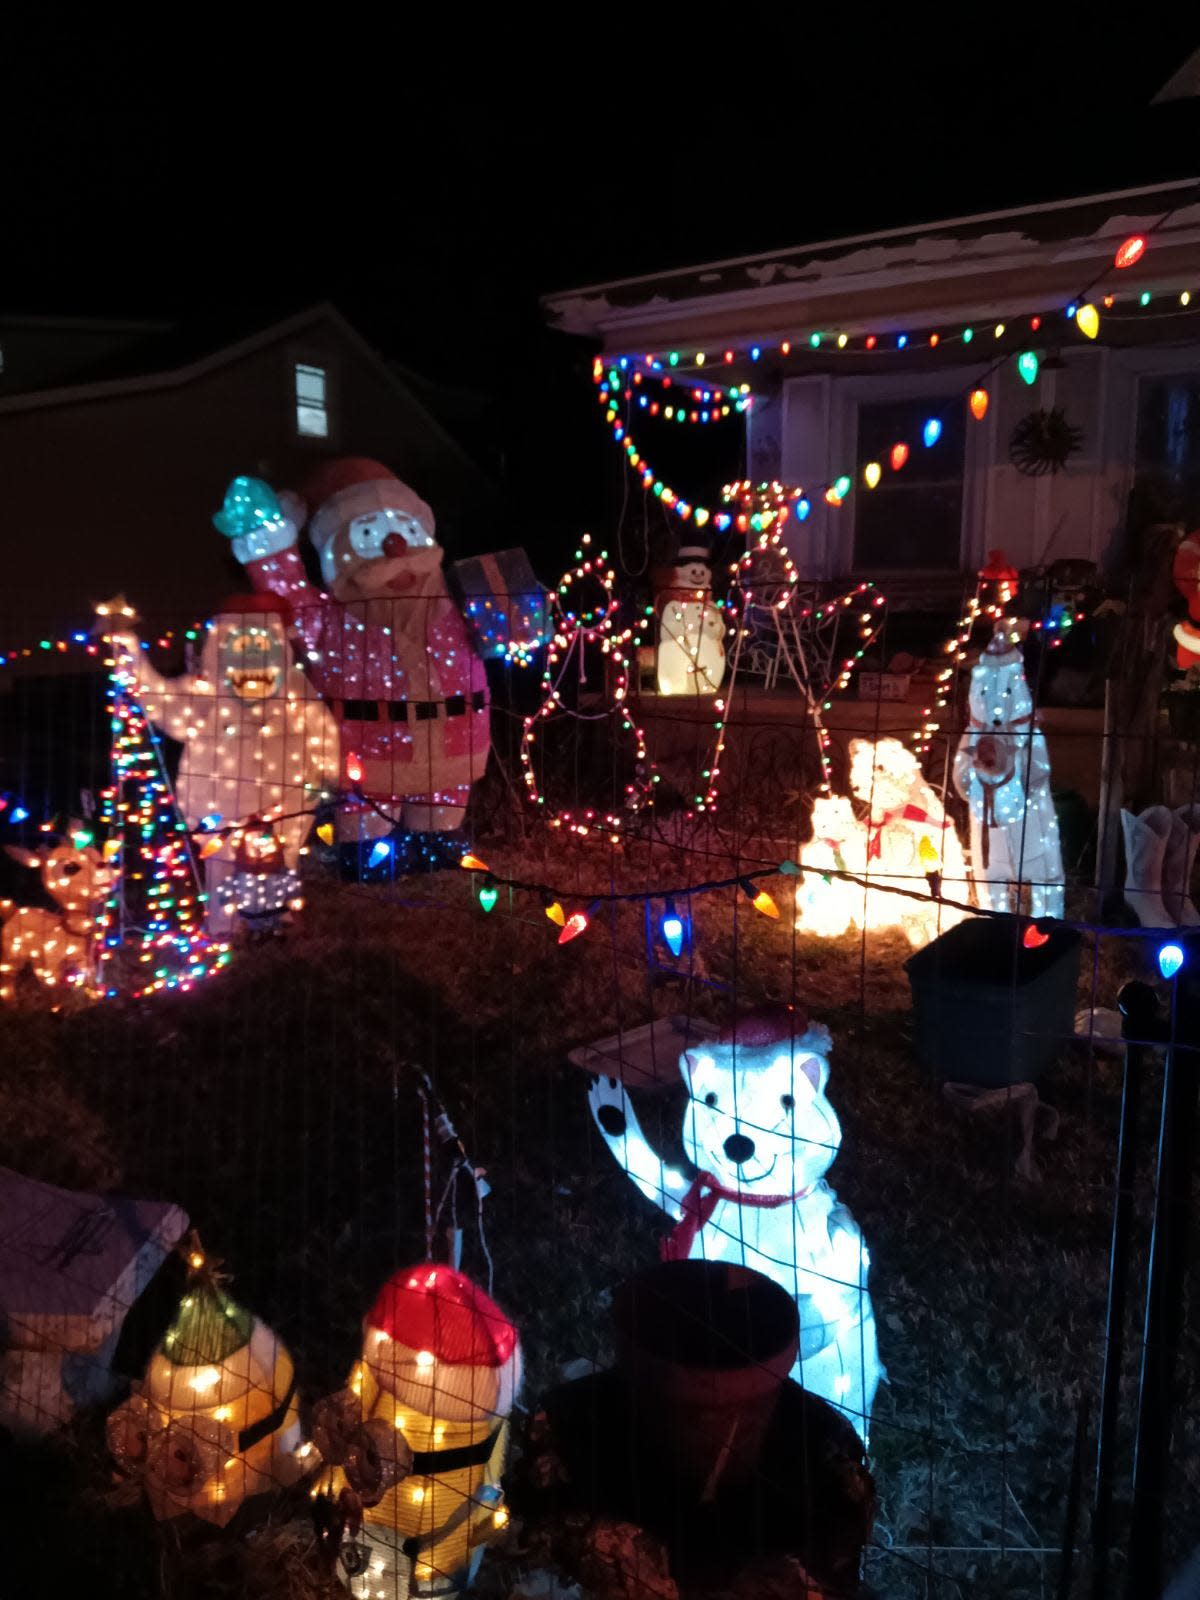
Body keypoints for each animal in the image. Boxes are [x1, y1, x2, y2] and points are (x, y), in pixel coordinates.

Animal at [592, 998, 883, 1440]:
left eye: (788, 1102)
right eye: (711, 1099)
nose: (739, 1144)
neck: (758, 1203)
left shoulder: (835, 1243)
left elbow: (834, 1295)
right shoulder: (692, 1198)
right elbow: (658, 1178)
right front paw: (610, 1109)